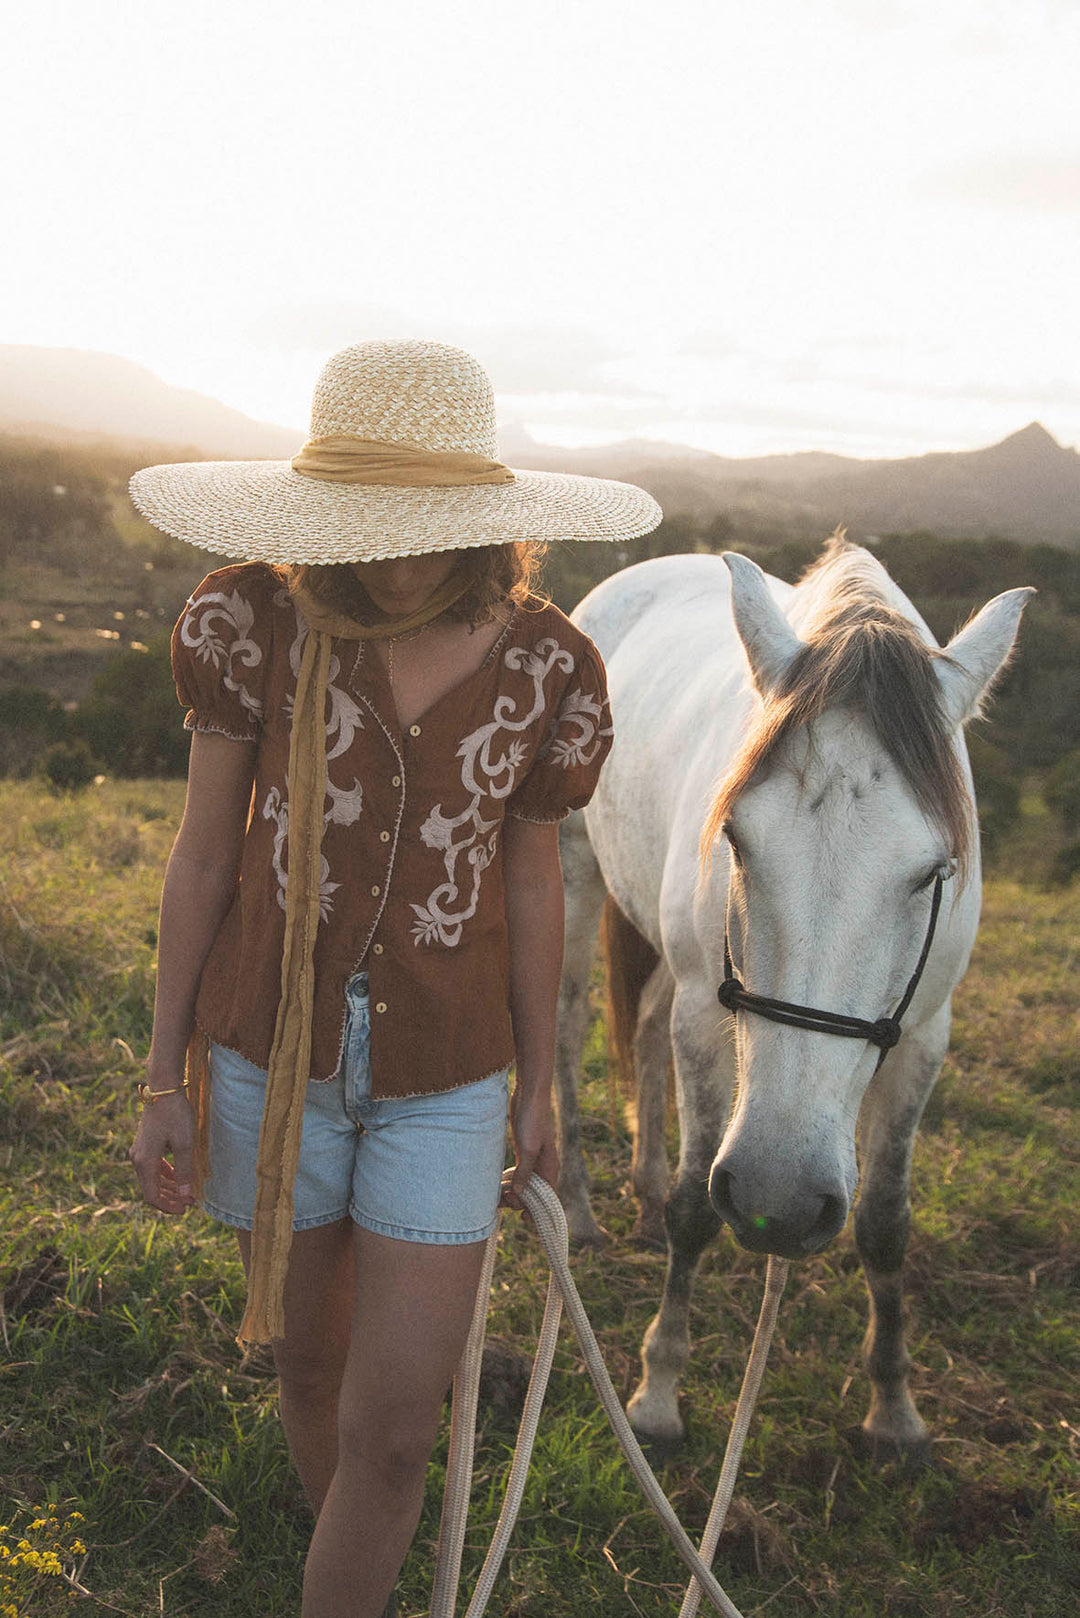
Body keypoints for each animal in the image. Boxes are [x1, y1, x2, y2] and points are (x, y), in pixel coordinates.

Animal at [557, 540, 1029, 1456]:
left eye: (934, 871)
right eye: (737, 838)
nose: (777, 1197)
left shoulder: (925, 1037)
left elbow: (885, 1220)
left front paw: (894, 1406)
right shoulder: (708, 1012)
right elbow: (697, 1209)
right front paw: (658, 1392)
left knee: (642, 1030)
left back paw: (641, 1183)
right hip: (574, 874)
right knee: (566, 1023)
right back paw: (576, 1202)